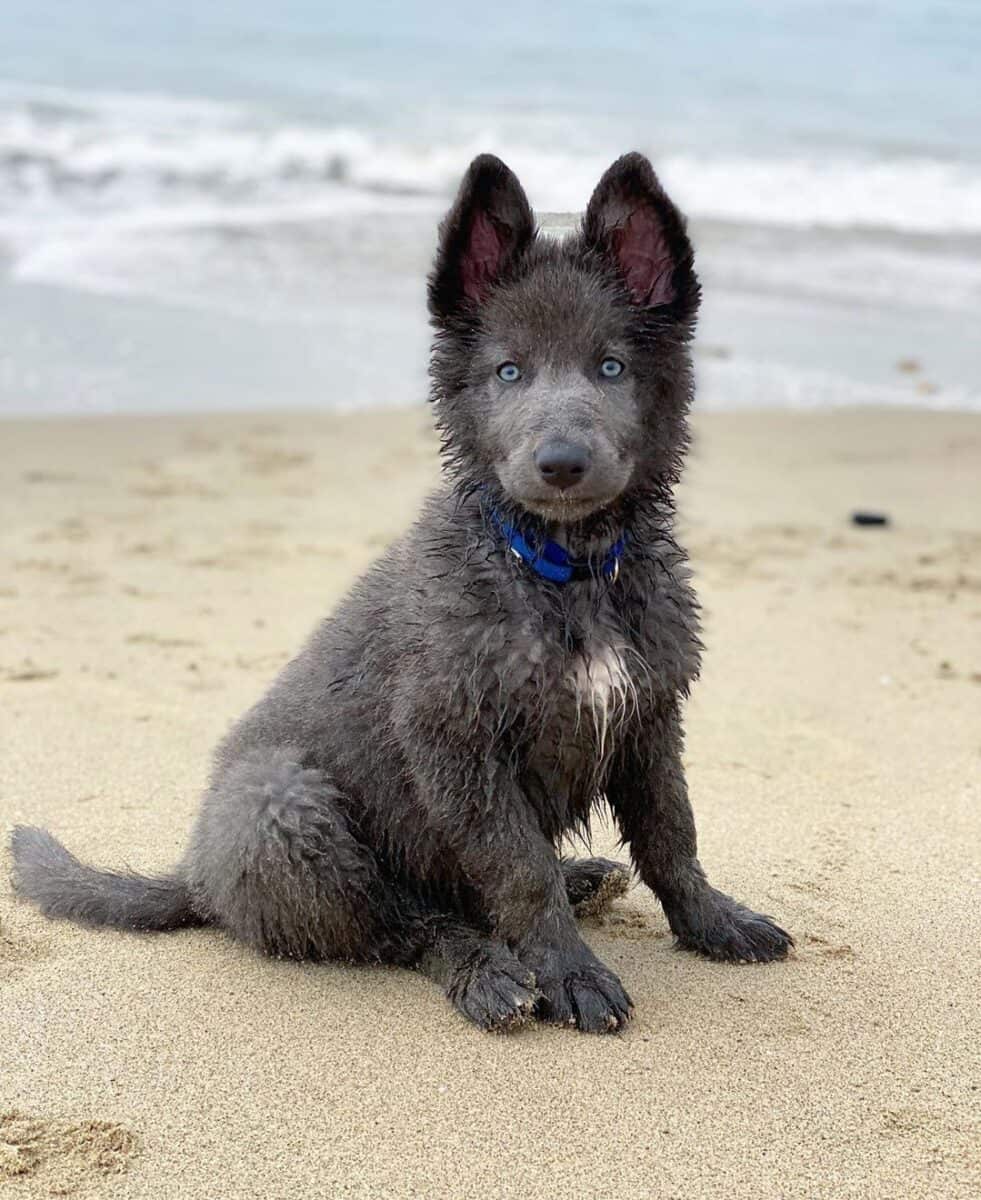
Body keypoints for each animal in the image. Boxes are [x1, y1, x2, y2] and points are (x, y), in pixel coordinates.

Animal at [9, 152, 786, 1032]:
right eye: (507, 371)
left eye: (611, 367)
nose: (559, 464)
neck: (561, 572)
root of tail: (199, 877)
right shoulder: (453, 740)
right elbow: (519, 871)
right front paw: (568, 972)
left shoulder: (649, 716)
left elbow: (671, 836)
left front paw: (712, 922)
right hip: (285, 804)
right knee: (406, 926)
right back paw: (488, 972)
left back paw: (582, 881)